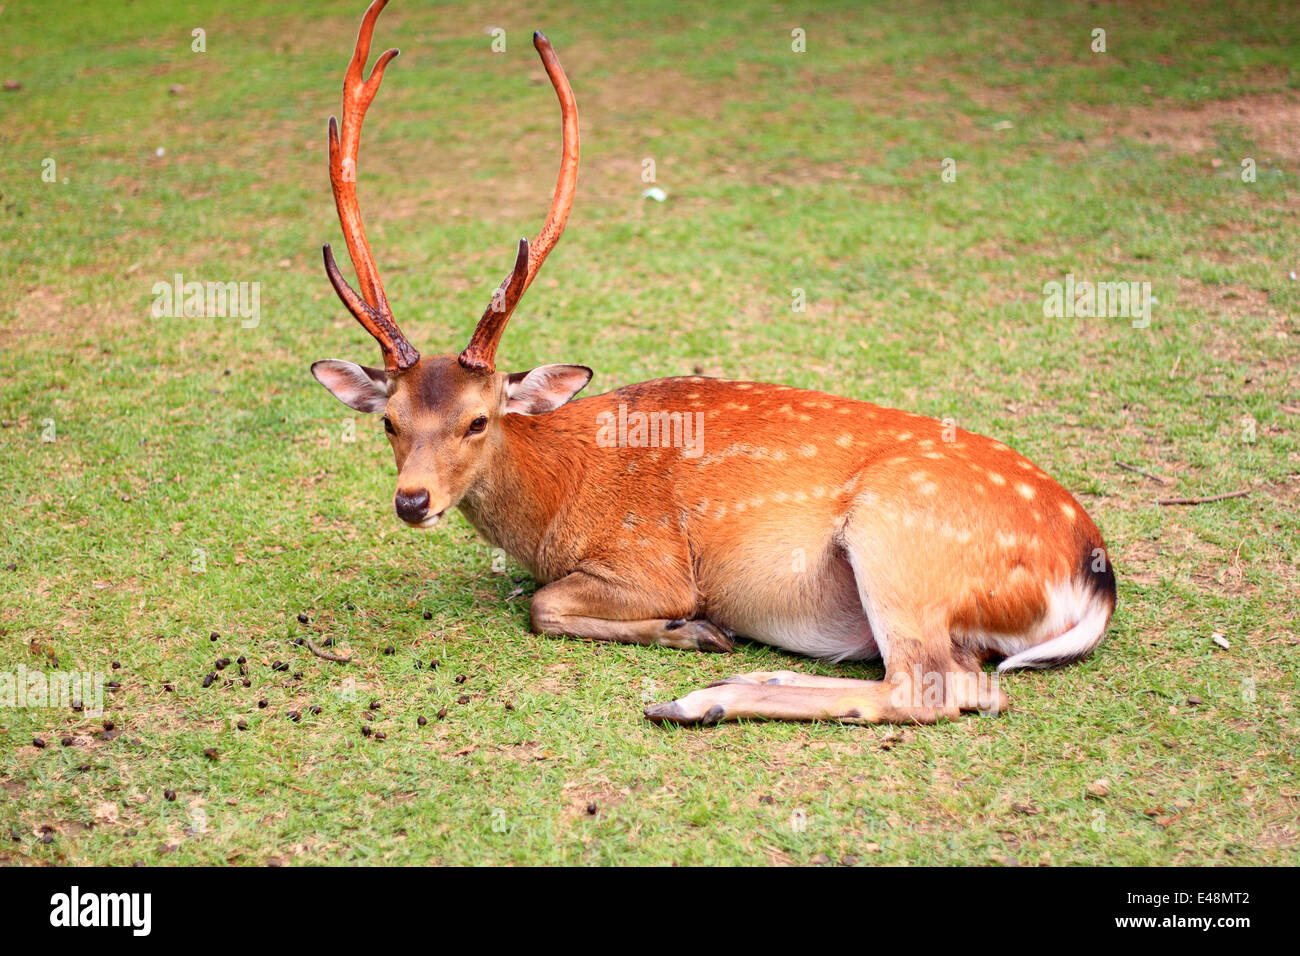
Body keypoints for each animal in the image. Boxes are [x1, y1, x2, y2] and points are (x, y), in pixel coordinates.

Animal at [306, 1, 1118, 723]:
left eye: (478, 421)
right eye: (389, 421)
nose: (412, 501)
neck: (557, 501)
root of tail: (1095, 572)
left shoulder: (648, 562)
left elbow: (541, 604)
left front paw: (694, 627)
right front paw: (699, 636)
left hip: (899, 538)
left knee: (939, 687)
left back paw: (700, 699)